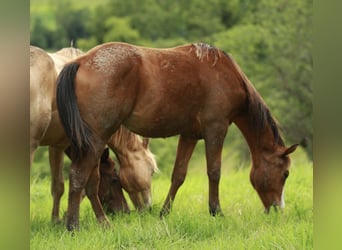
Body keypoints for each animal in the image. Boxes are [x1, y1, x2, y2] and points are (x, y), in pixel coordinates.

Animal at [29, 45, 158, 223]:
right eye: (115, 180)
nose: (146, 209)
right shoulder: (79, 147)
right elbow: (83, 184)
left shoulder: (58, 146)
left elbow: (60, 185)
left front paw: (59, 219)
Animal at [55, 41, 296, 230]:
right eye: (285, 174)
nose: (278, 209)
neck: (226, 74)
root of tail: (81, 62)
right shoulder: (216, 130)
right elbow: (214, 172)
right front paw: (216, 211)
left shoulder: (189, 135)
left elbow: (178, 174)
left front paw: (164, 212)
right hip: (96, 139)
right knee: (78, 176)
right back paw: (74, 225)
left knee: (89, 181)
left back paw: (98, 222)